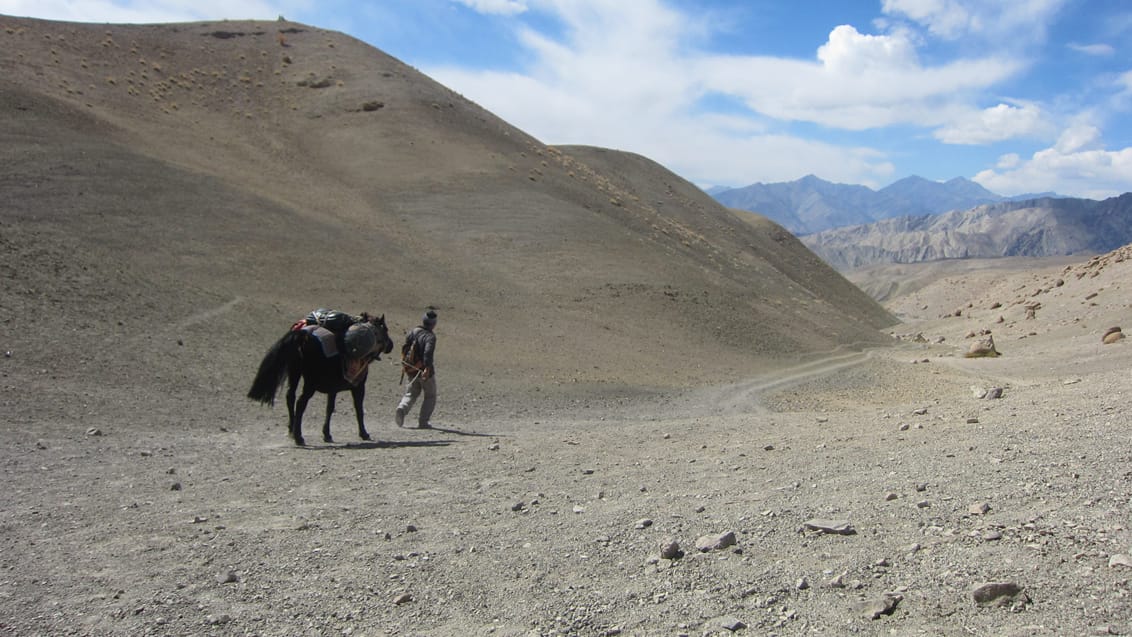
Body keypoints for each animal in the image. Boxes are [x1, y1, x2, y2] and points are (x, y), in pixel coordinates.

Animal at [246, 312, 393, 443]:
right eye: (385, 329)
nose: (391, 345)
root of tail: (303, 335)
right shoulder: (359, 387)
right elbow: (358, 409)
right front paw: (364, 434)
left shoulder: (333, 389)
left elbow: (330, 408)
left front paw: (327, 434)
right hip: (310, 384)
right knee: (300, 403)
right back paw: (298, 437)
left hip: (295, 374)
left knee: (290, 397)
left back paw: (291, 431)